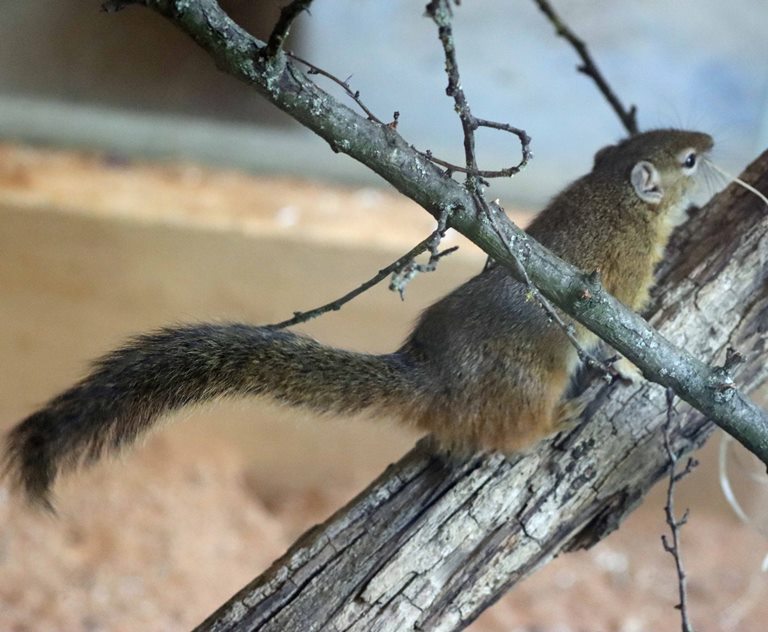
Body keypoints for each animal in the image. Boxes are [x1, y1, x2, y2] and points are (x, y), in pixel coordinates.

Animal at [3, 129, 713, 509]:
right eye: (689, 160)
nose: (709, 142)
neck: (614, 197)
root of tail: (434, 380)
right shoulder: (619, 282)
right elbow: (626, 322)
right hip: (525, 389)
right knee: (510, 434)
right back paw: (555, 420)